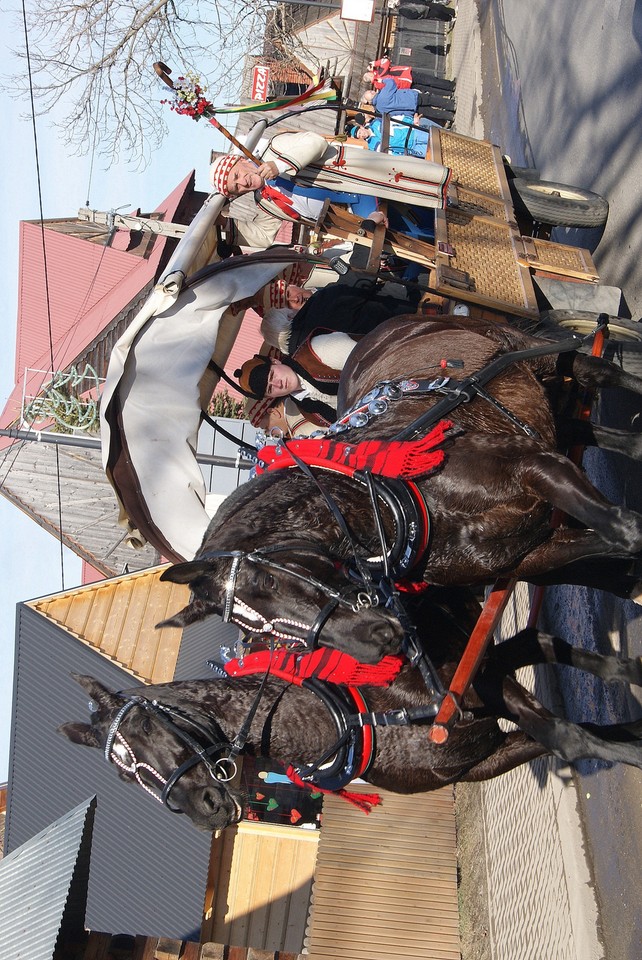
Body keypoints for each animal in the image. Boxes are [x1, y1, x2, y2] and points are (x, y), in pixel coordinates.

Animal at [58, 588, 640, 828]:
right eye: (123, 774)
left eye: (143, 723)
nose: (207, 810)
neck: (358, 718)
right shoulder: (483, 756)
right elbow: (573, 735)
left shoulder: (478, 693)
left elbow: (572, 736)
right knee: (534, 642)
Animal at [159, 318, 640, 664]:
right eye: (255, 631)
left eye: (268, 580)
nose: (375, 643)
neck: (399, 501)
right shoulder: (531, 551)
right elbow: (614, 552)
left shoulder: (535, 466)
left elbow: (627, 532)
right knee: (581, 427)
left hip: (534, 355)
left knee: (600, 371)